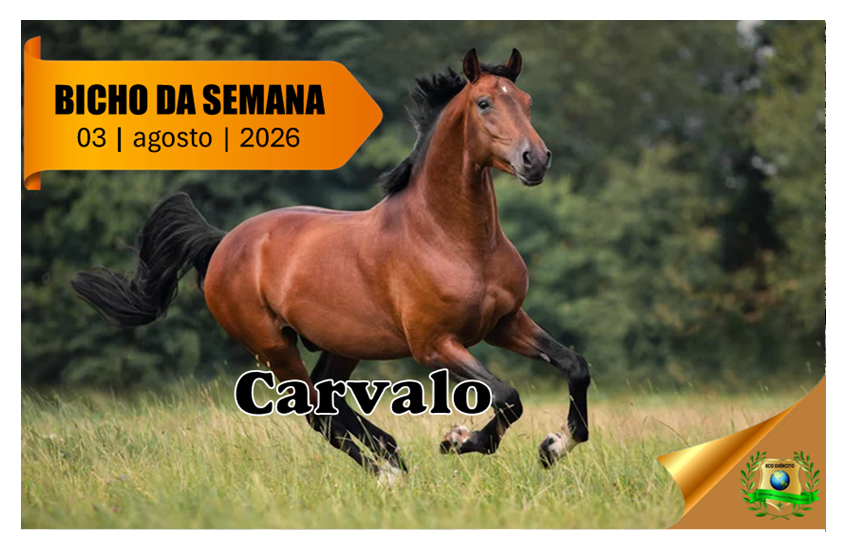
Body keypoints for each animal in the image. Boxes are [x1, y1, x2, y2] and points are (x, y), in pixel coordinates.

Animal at [72, 48, 591, 479]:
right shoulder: (434, 345)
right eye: (484, 103)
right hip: (273, 347)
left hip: (342, 344)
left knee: (327, 399)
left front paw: (555, 445)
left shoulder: (504, 322)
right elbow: (507, 396)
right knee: (315, 411)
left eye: (526, 101)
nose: (535, 159)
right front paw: (458, 439)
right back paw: (388, 470)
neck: (451, 239)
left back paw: (389, 454)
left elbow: (574, 366)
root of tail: (222, 243)